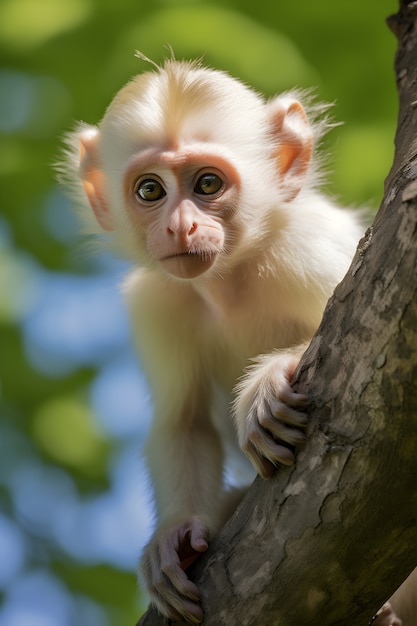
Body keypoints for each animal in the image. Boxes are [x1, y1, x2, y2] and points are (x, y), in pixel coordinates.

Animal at [61, 57, 364, 620]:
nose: (180, 227)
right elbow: (184, 421)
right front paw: (172, 538)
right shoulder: (157, 302)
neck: (232, 279)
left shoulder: (306, 248)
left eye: (207, 183)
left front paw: (265, 385)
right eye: (150, 191)